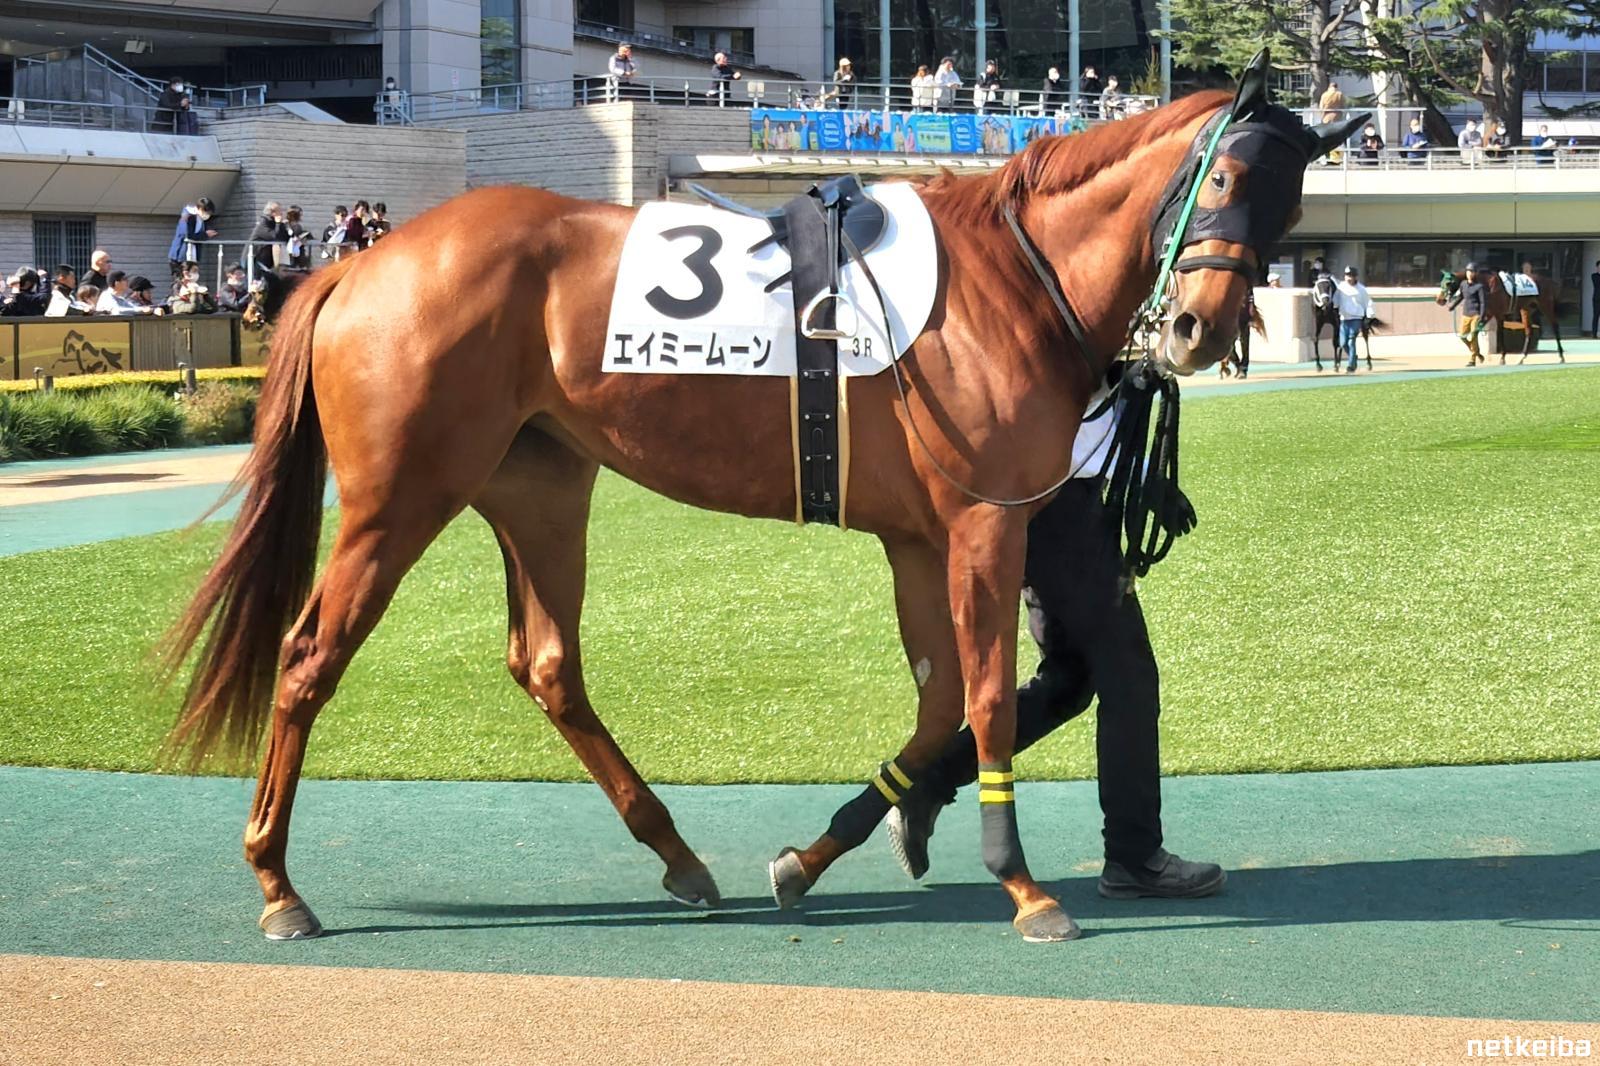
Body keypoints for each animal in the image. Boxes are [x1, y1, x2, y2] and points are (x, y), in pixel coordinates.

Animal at [165, 52, 1359, 945]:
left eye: (1291, 204)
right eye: (1219, 183)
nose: (1199, 330)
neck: (1010, 281)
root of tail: (360, 265)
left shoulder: (920, 537)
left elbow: (938, 706)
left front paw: (818, 853)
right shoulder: (983, 523)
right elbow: (981, 699)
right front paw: (1019, 883)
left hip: (540, 485)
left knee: (547, 663)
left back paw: (682, 856)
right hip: (397, 498)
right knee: (310, 655)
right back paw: (277, 884)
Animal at [1436, 269, 1567, 364]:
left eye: (1448, 283)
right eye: (1441, 282)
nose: (1439, 300)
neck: (1487, 285)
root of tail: (1549, 281)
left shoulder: (1498, 314)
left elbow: (1499, 333)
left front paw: (1502, 358)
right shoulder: (1488, 313)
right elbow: (1473, 333)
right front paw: (1479, 355)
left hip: (1546, 306)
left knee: (1555, 326)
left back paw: (1561, 356)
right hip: (1526, 309)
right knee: (1529, 331)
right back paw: (1521, 357)